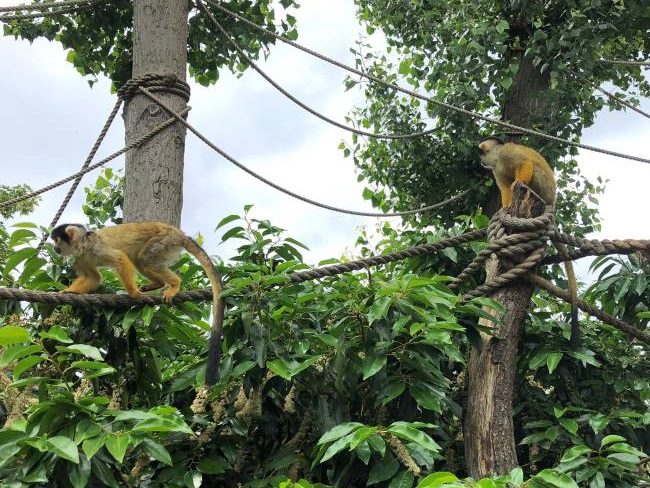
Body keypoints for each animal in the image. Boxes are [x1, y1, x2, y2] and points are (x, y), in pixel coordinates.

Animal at [50, 221, 223, 386]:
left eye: (56, 240)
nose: (54, 248)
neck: (83, 245)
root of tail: (178, 232)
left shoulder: (97, 247)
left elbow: (120, 259)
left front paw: (133, 293)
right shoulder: (80, 259)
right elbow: (93, 278)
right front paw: (68, 292)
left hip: (164, 240)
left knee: (144, 258)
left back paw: (174, 284)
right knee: (139, 260)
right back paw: (157, 284)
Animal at [476, 135, 576, 346]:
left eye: (481, 154)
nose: (481, 163)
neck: (498, 157)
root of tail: (552, 203)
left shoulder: (507, 154)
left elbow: (525, 163)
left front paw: (518, 182)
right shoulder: (496, 169)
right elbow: (504, 188)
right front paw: (506, 208)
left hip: (545, 190)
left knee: (534, 169)